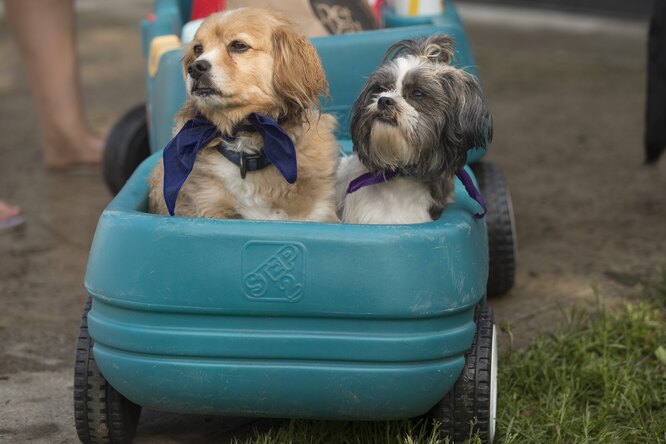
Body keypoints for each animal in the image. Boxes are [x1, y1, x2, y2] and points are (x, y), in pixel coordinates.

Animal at [149, 6, 338, 222]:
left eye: (238, 45)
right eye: (197, 49)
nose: (195, 67)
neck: (245, 143)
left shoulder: (319, 212)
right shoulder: (209, 207)